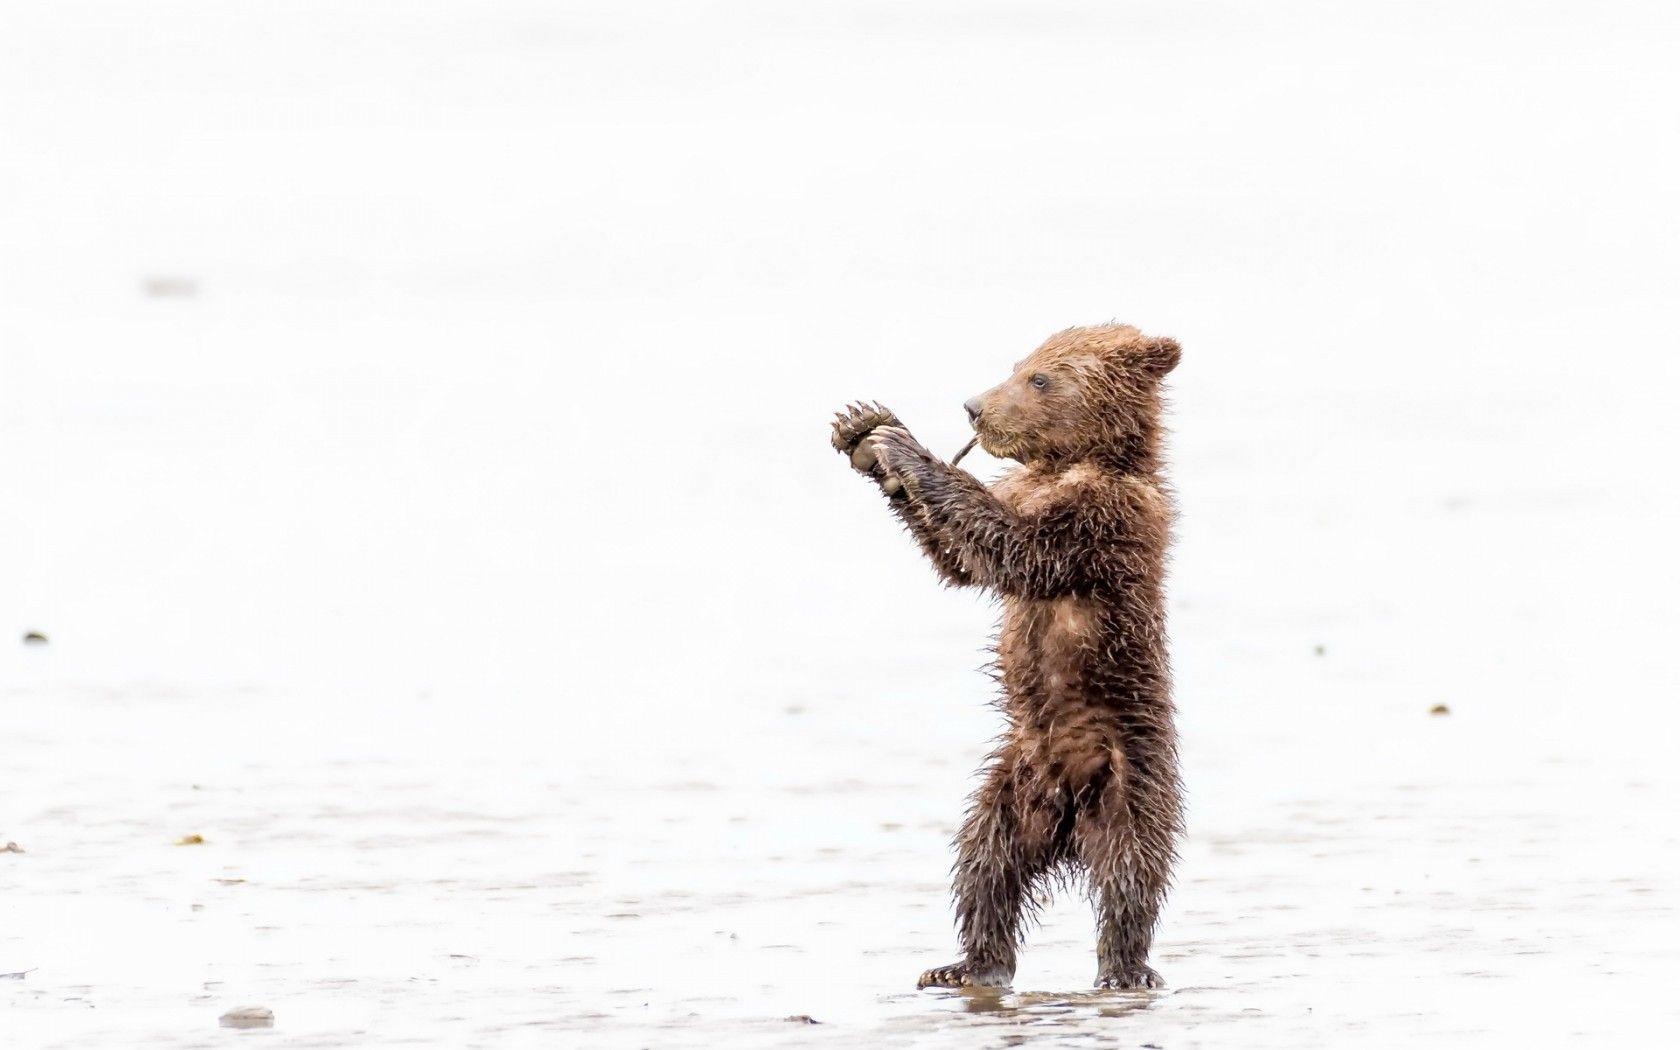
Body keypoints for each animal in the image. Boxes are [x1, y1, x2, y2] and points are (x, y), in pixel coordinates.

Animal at [830, 323, 1184, 991]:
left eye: (1040, 378)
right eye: (1018, 364)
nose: (974, 406)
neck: (1072, 463)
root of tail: (1069, 818)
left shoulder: (1101, 521)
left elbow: (1015, 547)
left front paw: (902, 447)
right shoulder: (1023, 488)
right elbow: (960, 560)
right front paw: (864, 429)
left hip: (1130, 771)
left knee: (1132, 866)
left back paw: (1124, 968)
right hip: (1012, 787)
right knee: (984, 863)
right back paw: (967, 965)